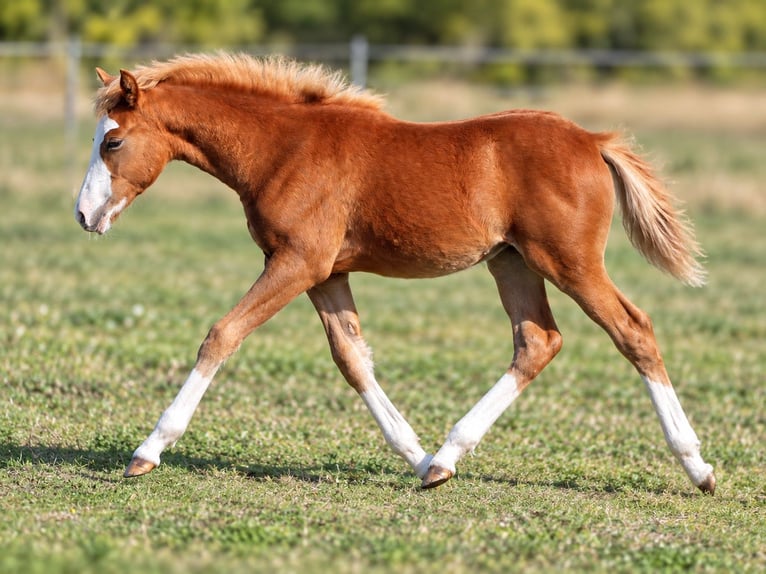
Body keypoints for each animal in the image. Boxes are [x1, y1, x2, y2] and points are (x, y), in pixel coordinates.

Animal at [74, 53, 715, 494]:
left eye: (113, 142)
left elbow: (222, 334)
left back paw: (699, 467)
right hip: (512, 261)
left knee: (633, 330)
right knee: (537, 341)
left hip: (568, 261)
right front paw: (417, 455)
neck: (283, 148)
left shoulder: (297, 261)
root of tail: (592, 140)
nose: (83, 215)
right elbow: (353, 359)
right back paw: (446, 459)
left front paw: (148, 450)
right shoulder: (325, 273)